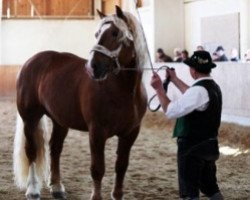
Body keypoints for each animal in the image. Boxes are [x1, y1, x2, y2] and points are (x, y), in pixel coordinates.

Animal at [13, 6, 148, 200]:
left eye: (115, 33)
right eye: (97, 33)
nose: (93, 67)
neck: (125, 92)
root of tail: (29, 62)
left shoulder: (130, 134)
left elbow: (121, 166)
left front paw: (117, 195)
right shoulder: (97, 132)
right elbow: (97, 169)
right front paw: (96, 196)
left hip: (60, 121)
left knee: (55, 149)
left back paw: (57, 187)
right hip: (30, 118)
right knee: (31, 150)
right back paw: (33, 190)